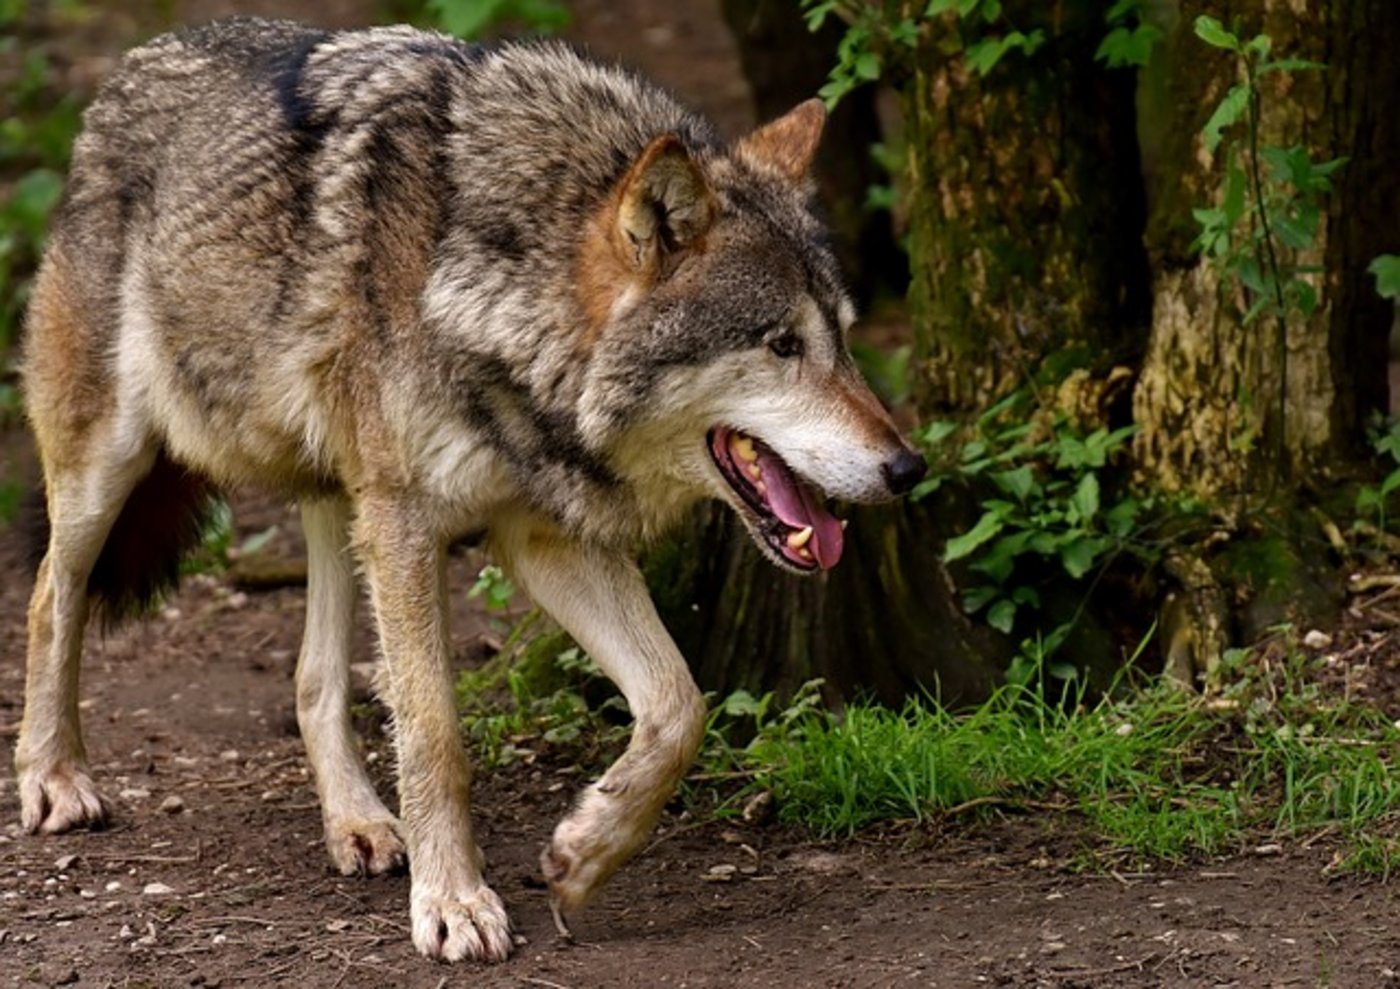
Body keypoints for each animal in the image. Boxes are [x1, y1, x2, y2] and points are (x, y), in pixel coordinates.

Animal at [15, 17, 926, 962]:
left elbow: (680, 705)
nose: (908, 468)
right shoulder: (411, 525)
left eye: (845, 340)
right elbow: (435, 733)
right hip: (113, 466)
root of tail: (132, 66)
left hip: (340, 500)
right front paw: (452, 900)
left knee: (313, 676)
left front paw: (584, 854)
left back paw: (359, 823)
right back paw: (53, 777)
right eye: (782, 344)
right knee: (51, 595)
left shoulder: (542, 537)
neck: (498, 293)